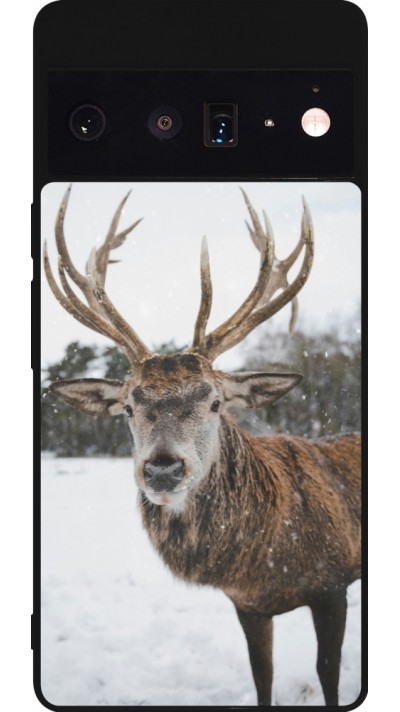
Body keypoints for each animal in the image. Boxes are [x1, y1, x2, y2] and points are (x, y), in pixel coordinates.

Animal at [43, 186, 361, 706]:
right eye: (128, 407)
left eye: (215, 402)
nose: (163, 470)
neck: (264, 560)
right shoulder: (248, 605)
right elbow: (262, 675)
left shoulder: (333, 583)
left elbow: (328, 674)